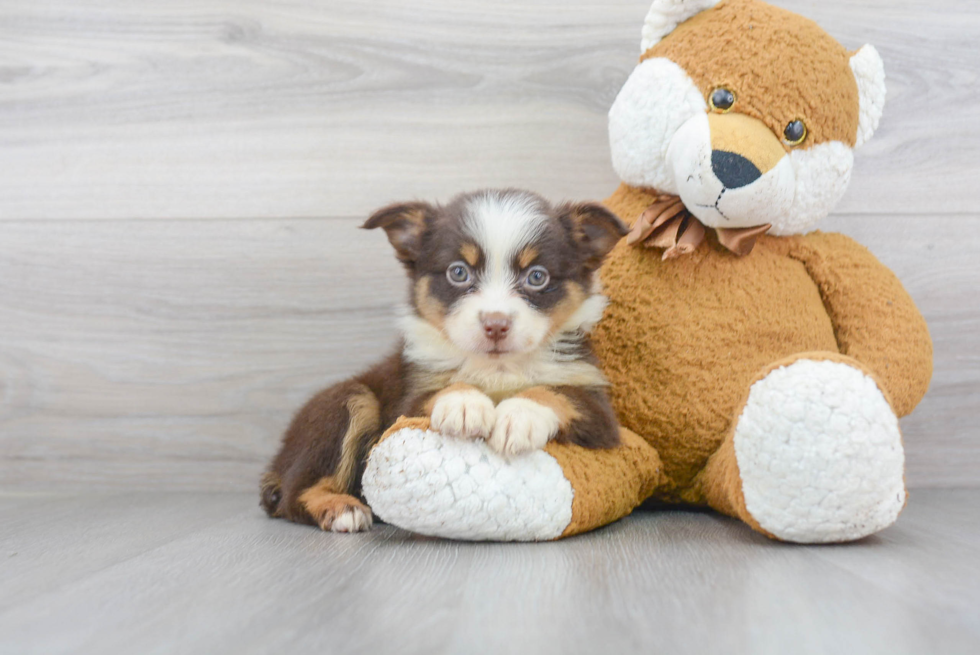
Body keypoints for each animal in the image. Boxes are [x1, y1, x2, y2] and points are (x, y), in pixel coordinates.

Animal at [260, 190, 628, 532]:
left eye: (537, 277)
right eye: (458, 273)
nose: (496, 324)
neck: (497, 368)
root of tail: (278, 463)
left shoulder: (601, 414)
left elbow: (552, 392)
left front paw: (518, 417)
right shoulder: (408, 401)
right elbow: (446, 388)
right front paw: (464, 405)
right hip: (347, 401)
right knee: (296, 493)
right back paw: (340, 508)